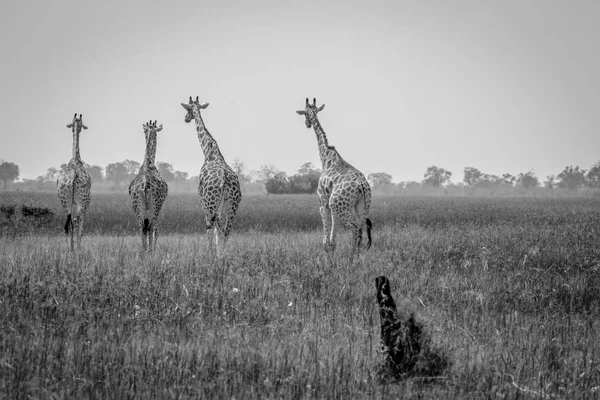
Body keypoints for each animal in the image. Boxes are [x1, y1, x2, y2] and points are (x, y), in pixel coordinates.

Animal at [56, 113, 92, 250]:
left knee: (69, 224)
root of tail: (72, 179)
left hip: (65, 202)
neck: (75, 159)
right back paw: (77, 249)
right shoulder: (83, 204)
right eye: (81, 124)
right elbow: (80, 226)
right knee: (77, 223)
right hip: (83, 202)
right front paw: (78, 249)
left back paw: (70, 250)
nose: (78, 128)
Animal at [128, 120, 169, 252]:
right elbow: (155, 229)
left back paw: (144, 250)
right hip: (155, 206)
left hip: (137, 206)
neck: (148, 161)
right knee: (153, 226)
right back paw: (151, 250)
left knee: (142, 227)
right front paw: (152, 249)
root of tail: (145, 184)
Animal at [180, 97, 241, 260]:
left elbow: (209, 227)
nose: (186, 118)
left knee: (212, 225)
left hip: (210, 203)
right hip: (232, 205)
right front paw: (218, 253)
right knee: (226, 229)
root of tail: (225, 181)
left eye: (188, 109)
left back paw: (212, 253)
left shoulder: (201, 198)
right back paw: (223, 254)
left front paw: (210, 253)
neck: (208, 151)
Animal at [294, 98, 370, 264]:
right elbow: (333, 240)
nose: (307, 124)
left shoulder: (323, 203)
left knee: (355, 228)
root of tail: (362, 186)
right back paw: (358, 260)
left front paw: (329, 263)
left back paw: (350, 261)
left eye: (305, 113)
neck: (326, 157)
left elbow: (326, 242)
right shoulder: (331, 205)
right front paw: (332, 261)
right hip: (360, 206)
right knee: (362, 230)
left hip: (342, 208)